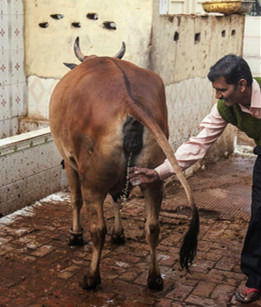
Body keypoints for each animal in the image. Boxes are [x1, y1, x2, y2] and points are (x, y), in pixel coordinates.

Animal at [48, 38, 198, 292]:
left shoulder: (70, 162)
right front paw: (119, 233)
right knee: (152, 226)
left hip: (93, 182)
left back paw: (91, 277)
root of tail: (127, 100)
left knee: (98, 229)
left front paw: (75, 235)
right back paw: (154, 278)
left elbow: (75, 200)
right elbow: (118, 198)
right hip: (153, 177)